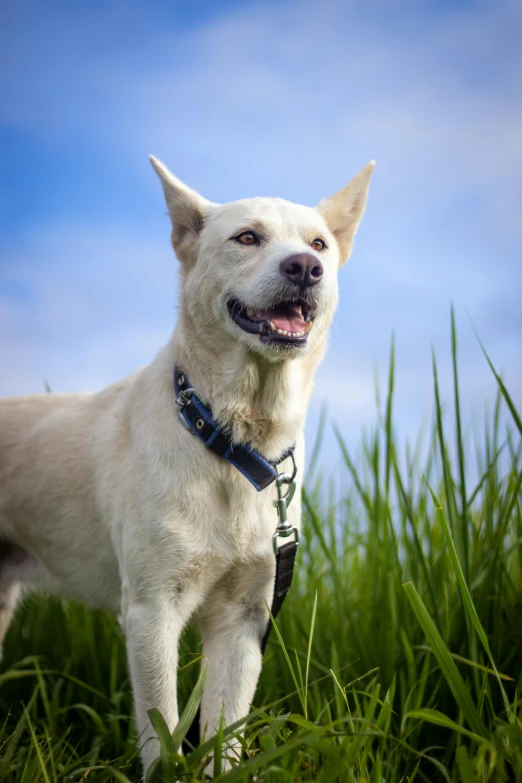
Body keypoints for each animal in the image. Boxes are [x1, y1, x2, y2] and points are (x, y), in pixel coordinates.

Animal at [0, 158, 374, 772]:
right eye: (247, 238)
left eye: (318, 243)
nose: (306, 267)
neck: (230, 441)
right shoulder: (152, 612)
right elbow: (163, 733)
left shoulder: (244, 621)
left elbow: (226, 737)